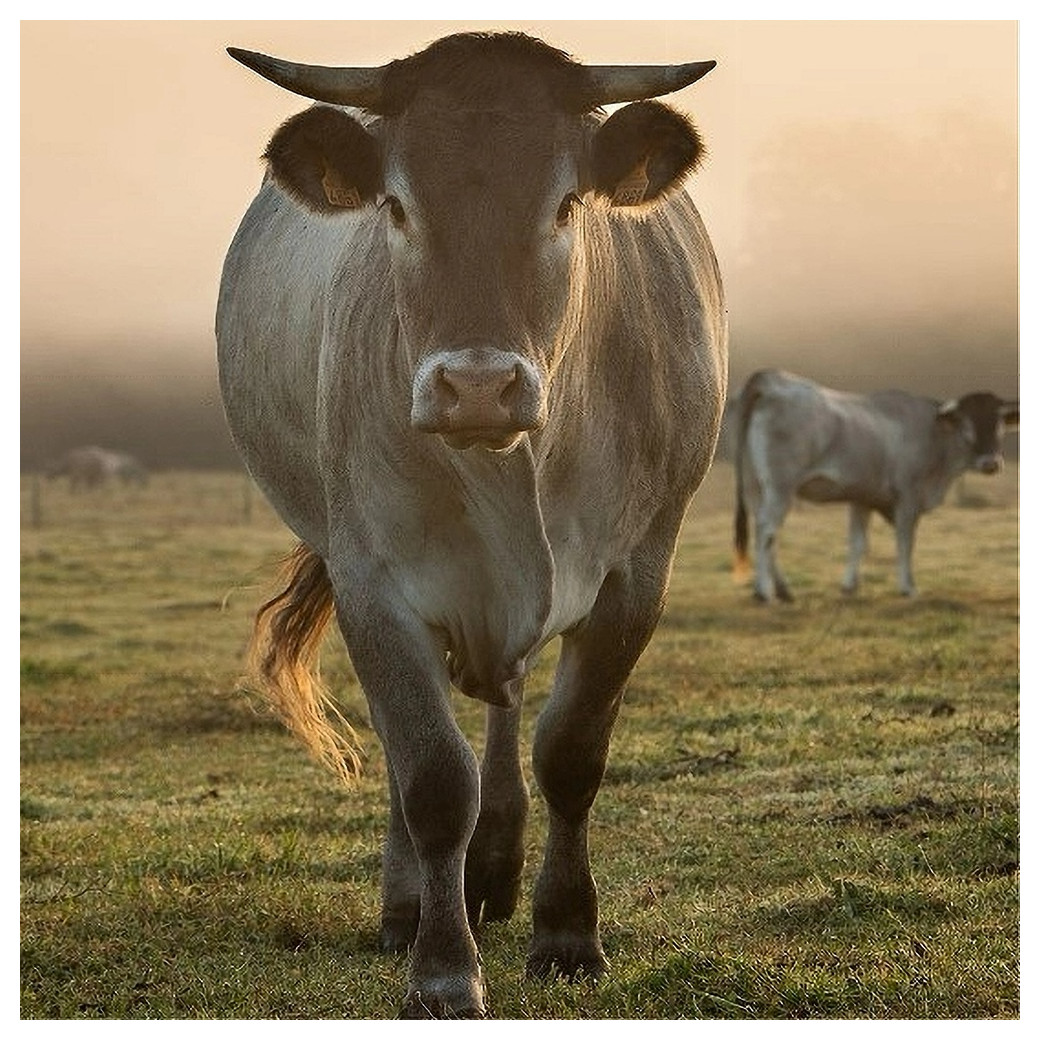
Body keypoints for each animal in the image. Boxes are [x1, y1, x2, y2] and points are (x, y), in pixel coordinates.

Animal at [216, 30, 728, 1015]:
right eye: (396, 205)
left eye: (565, 203)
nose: (479, 387)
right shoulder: (373, 582)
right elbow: (429, 774)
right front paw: (444, 968)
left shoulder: (640, 571)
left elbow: (571, 752)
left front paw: (567, 933)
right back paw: (410, 903)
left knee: (509, 698)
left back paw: (493, 869)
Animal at [732, 372, 1015, 603]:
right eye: (968, 423)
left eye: (999, 423)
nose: (991, 462)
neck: (934, 433)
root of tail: (770, 379)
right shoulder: (908, 497)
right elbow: (905, 543)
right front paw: (908, 588)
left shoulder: (862, 497)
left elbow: (858, 542)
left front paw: (849, 586)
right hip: (780, 487)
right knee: (767, 530)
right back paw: (763, 592)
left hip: (755, 486)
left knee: (766, 531)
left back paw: (783, 590)